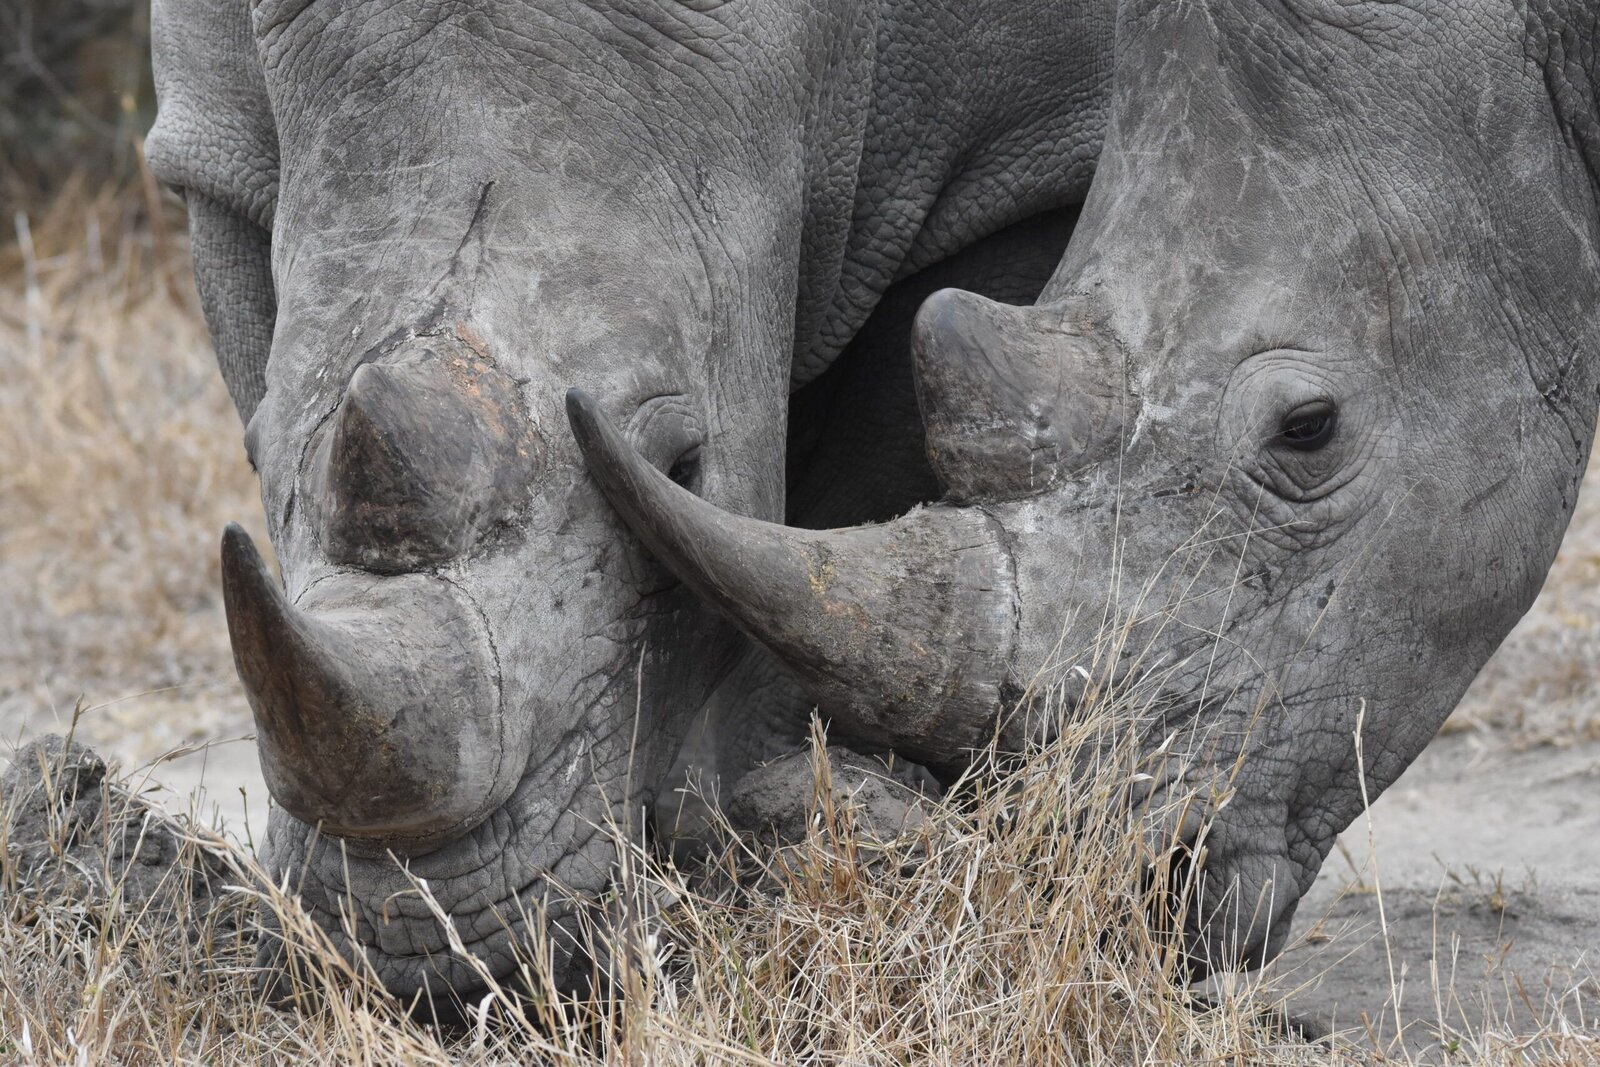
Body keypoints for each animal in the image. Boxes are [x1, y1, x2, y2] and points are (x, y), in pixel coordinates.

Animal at [146, 0, 1115, 995]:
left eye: (684, 464)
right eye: (254, 452)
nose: (427, 955)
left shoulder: (1020, 156)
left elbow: (855, 494)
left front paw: (776, 815)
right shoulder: (210, 153)